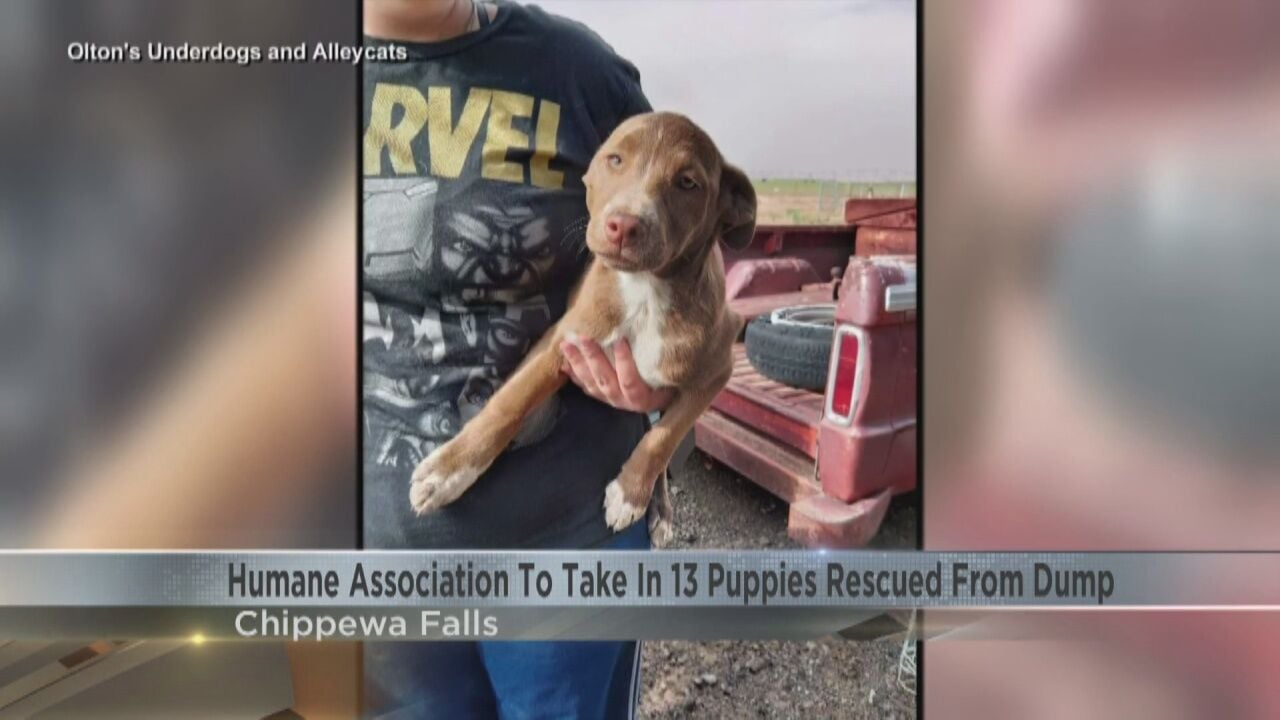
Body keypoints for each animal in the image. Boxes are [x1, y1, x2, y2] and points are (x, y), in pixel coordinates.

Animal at [404, 112, 752, 538]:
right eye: (615, 159)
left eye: (688, 183)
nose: (623, 225)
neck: (645, 294)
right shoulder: (566, 339)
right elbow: (511, 401)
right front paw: (448, 471)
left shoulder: (717, 370)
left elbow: (664, 437)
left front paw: (630, 493)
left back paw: (661, 509)